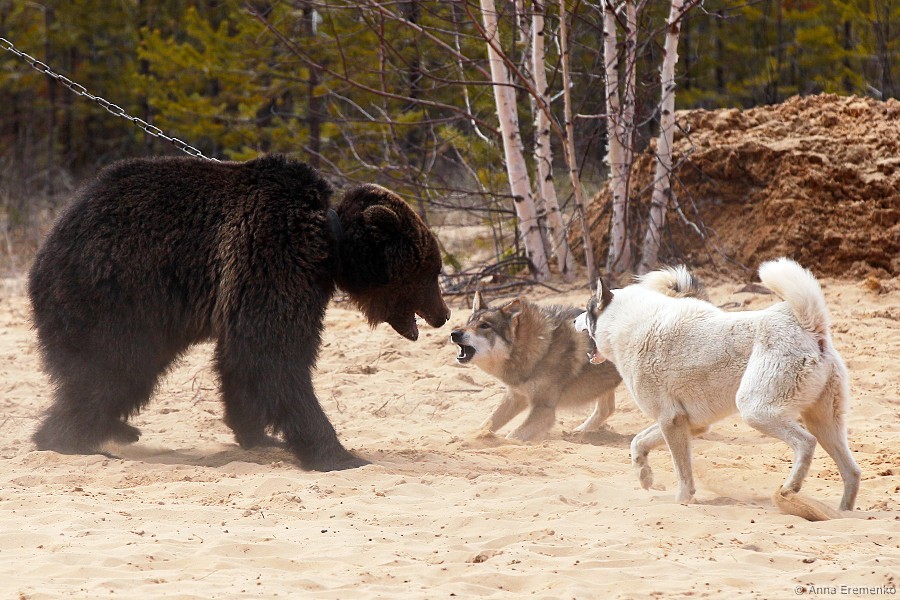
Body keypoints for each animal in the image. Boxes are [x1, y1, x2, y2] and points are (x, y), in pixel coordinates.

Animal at [28, 154, 450, 471]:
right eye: (432, 270)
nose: (443, 314)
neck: (329, 244)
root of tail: (47, 247)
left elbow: (242, 360)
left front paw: (258, 435)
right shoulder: (275, 253)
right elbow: (272, 354)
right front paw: (338, 454)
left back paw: (111, 430)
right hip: (117, 294)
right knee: (113, 369)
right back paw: (72, 440)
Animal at [450, 267, 706, 442]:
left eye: (484, 326)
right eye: (468, 322)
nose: (454, 333)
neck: (536, 348)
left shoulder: (543, 410)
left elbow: (512, 436)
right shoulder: (516, 396)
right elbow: (488, 423)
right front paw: (469, 438)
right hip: (605, 382)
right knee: (606, 410)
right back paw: (579, 433)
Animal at [574, 258, 860, 511]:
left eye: (588, 310)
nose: (573, 320)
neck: (624, 324)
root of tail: (807, 325)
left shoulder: (671, 420)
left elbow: (682, 471)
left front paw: (682, 500)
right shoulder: (688, 422)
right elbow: (638, 442)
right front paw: (644, 476)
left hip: (757, 411)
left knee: (806, 443)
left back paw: (790, 490)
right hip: (824, 423)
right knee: (852, 471)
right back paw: (841, 513)